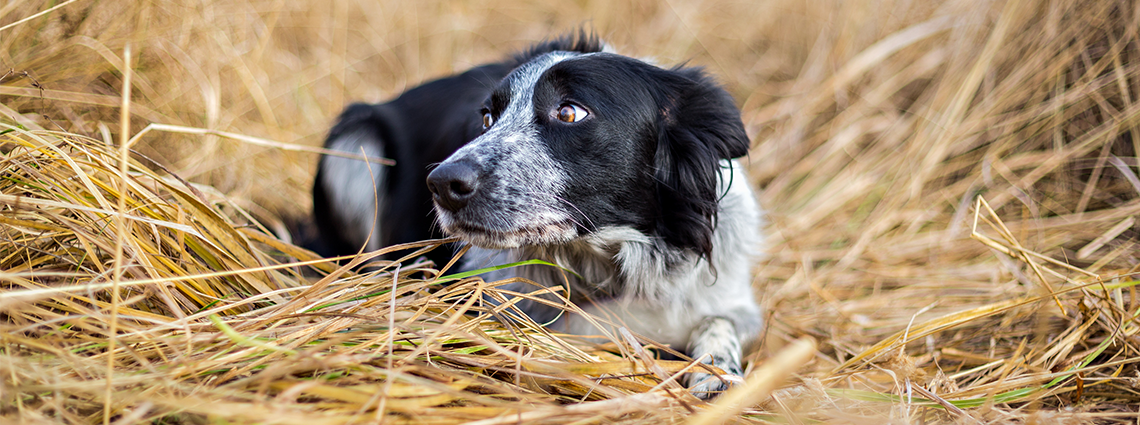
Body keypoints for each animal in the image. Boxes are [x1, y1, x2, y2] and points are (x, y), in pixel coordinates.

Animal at [310, 32, 766, 396]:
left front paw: (716, 374)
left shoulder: (729, 299)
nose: (440, 184)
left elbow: (719, 323)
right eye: (487, 117)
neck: (606, 267)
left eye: (570, 112)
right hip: (355, 141)